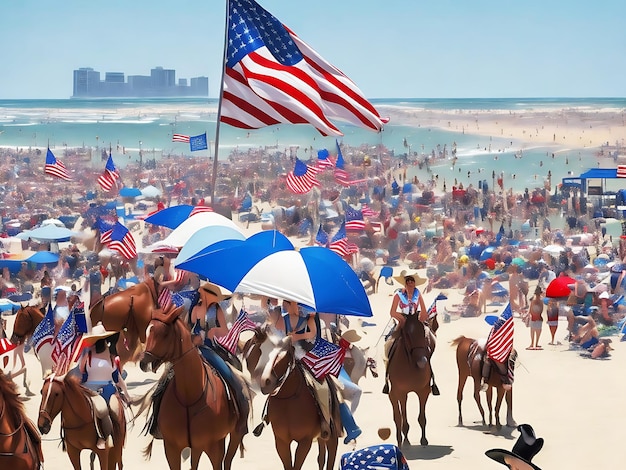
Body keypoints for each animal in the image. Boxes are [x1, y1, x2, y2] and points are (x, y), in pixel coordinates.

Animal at [138, 304, 243, 470]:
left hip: (235, 435)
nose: (144, 363)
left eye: (165, 333)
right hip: (197, 446)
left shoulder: (215, 447)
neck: (190, 395)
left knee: (228, 460)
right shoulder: (172, 448)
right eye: (147, 330)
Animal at [245, 326, 342, 470]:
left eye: (281, 354)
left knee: (330, 456)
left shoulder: (305, 441)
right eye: (256, 351)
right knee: (321, 458)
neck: (288, 398)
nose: (265, 381)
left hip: (331, 434)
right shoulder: (281, 441)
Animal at [382, 314, 436, 446]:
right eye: (407, 334)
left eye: (424, 333)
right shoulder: (400, 393)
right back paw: (402, 439)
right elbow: (402, 417)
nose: (422, 361)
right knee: (398, 415)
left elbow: (422, 417)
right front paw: (404, 441)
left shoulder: (423, 392)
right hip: (394, 394)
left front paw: (424, 440)